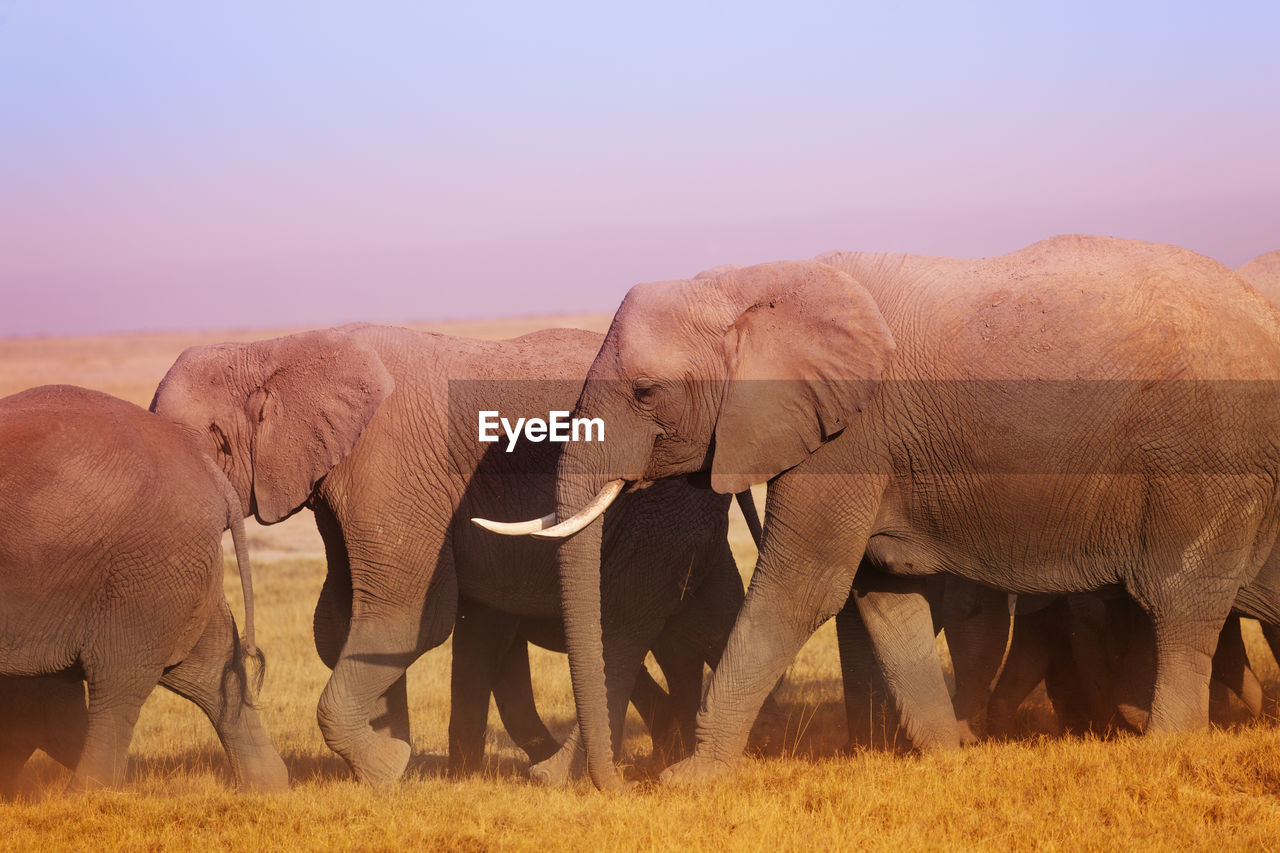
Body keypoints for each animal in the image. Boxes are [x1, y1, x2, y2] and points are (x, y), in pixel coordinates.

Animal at [0, 384, 282, 788]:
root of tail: (208, 468)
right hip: (175, 569)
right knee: (209, 669)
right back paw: (268, 788)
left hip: (143, 573)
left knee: (117, 684)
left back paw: (87, 793)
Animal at [481, 235, 1280, 788]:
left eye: (645, 391)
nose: (613, 785)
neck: (751, 282)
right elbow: (882, 594)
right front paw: (948, 755)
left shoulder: (849, 437)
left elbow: (803, 588)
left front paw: (687, 782)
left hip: (1206, 457)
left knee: (1178, 598)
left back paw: (1167, 741)